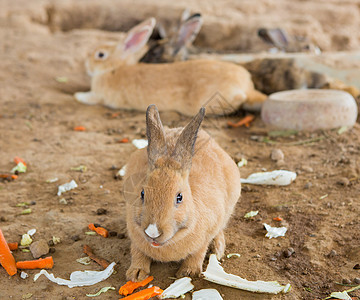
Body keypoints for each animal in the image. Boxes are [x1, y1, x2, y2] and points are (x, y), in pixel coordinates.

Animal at [75, 17, 268, 115]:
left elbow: (89, 98)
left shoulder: (99, 96)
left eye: (100, 55)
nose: (85, 65)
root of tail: (247, 87)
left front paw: (77, 96)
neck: (114, 68)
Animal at [122, 105, 240, 282]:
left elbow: (198, 252)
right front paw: (136, 274)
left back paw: (217, 249)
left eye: (179, 197)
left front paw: (188, 273)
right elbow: (137, 252)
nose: (153, 232)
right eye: (142, 193)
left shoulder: (206, 233)